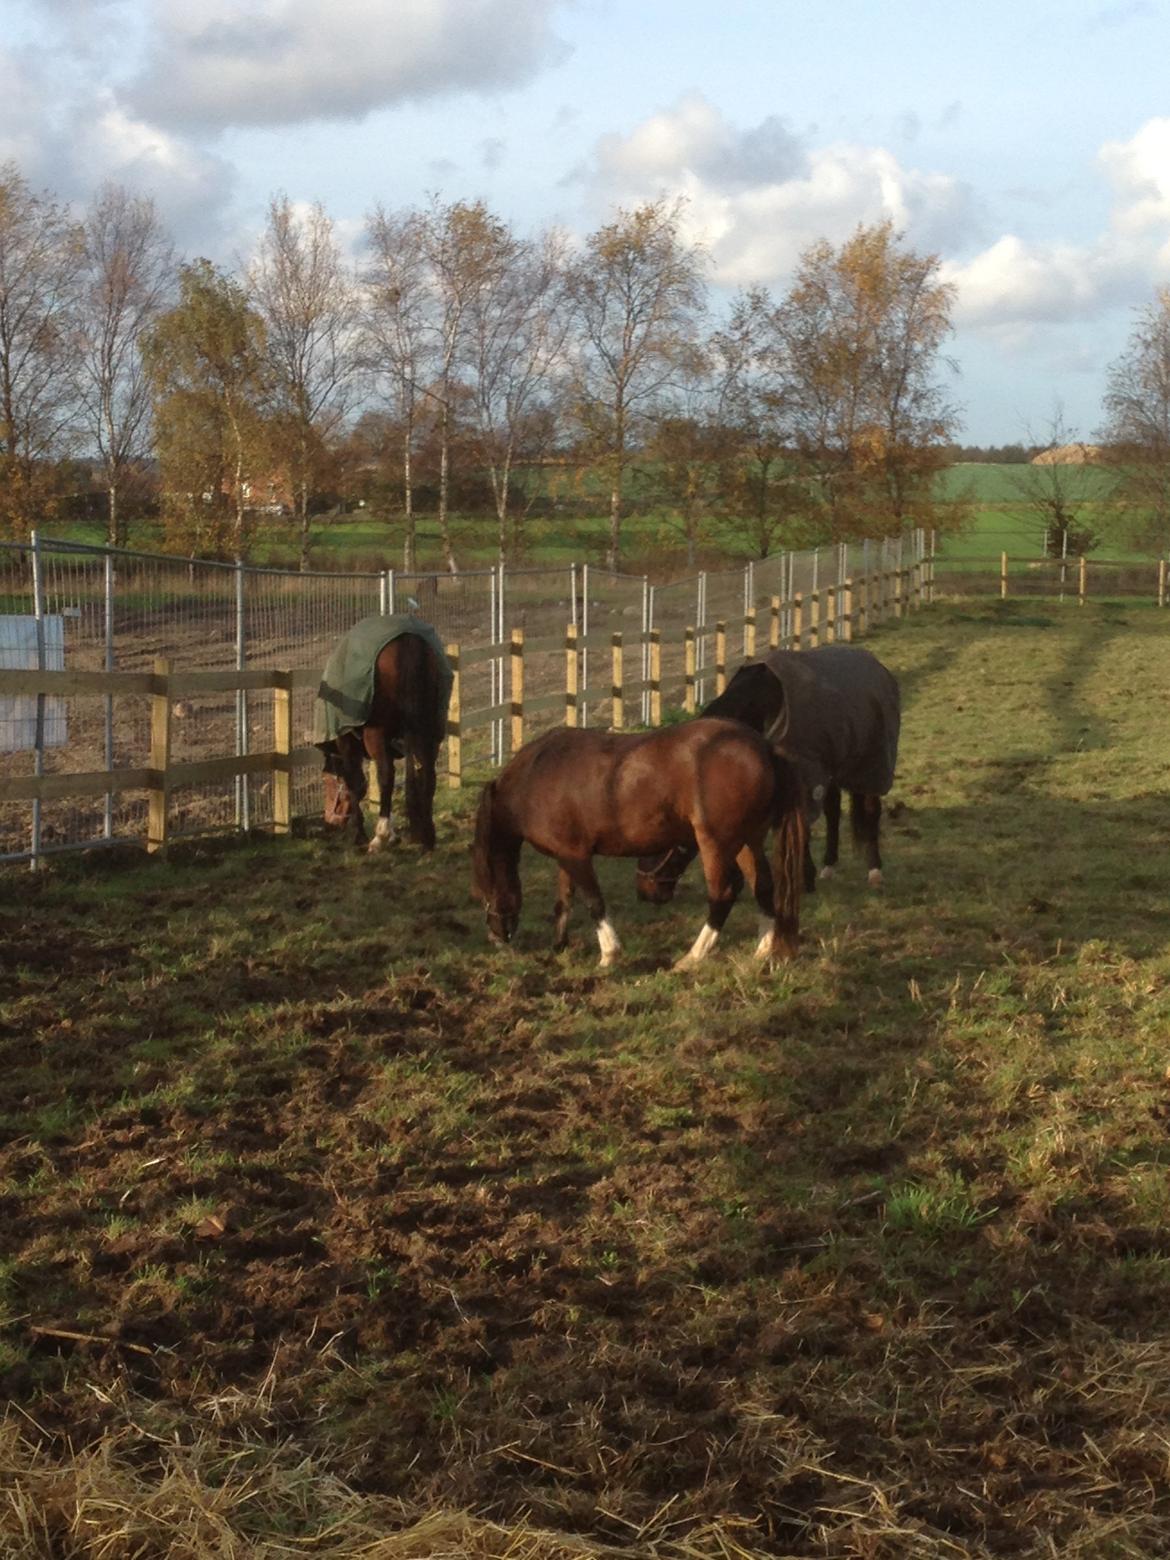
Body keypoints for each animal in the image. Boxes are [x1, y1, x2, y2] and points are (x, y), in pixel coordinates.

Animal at [316, 611, 452, 854]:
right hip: (429, 731)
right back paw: (427, 836)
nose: (330, 823)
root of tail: (410, 641)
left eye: (328, 784)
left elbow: (356, 782)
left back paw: (379, 836)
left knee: (386, 775)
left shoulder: (347, 744)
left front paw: (360, 834)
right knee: (427, 774)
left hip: (376, 734)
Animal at [471, 714, 811, 960]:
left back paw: (692, 957)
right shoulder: (565, 855)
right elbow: (564, 900)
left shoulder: (576, 856)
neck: (537, 774)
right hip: (746, 840)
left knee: (723, 893)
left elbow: (594, 902)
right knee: (762, 885)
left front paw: (609, 954)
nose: (497, 936)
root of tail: (763, 747)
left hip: (716, 842)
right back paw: (762, 950)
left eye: (483, 886)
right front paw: (559, 946)